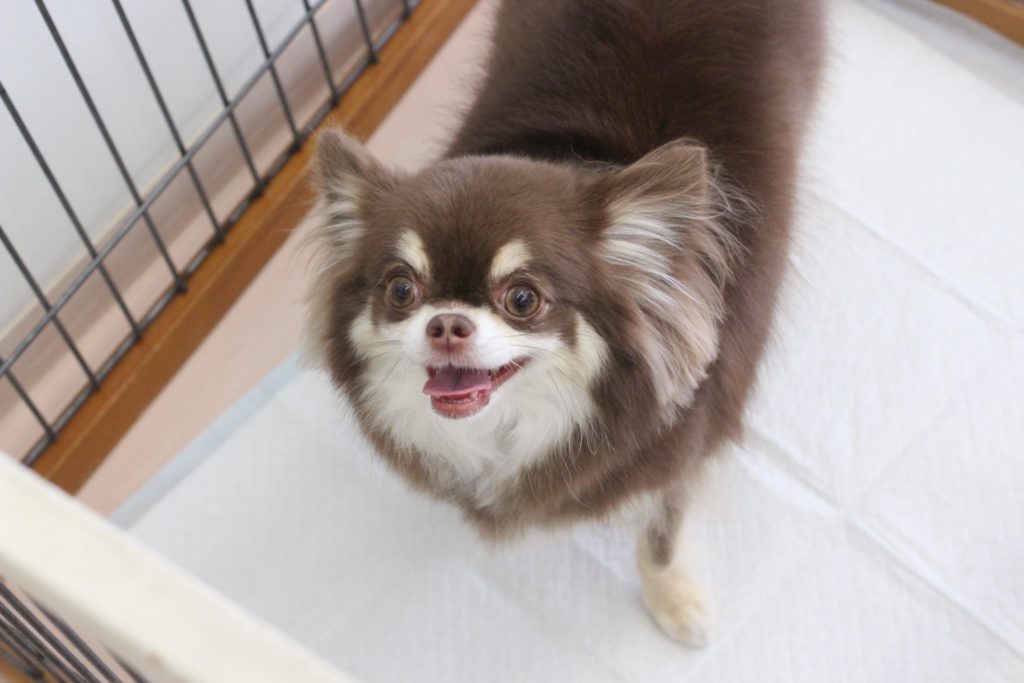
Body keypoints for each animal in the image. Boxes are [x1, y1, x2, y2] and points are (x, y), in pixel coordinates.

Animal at [305, 0, 824, 646]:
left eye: (523, 299)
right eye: (401, 289)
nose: (446, 323)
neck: (514, 432)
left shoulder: (682, 456)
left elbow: (661, 534)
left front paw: (673, 599)